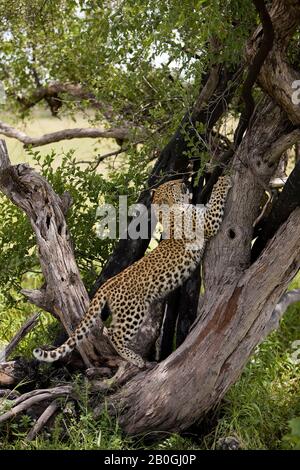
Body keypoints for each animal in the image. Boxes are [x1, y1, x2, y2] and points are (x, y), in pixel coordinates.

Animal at [33, 174, 232, 370]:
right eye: (172, 185)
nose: (184, 181)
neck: (170, 213)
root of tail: (108, 283)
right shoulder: (208, 223)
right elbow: (215, 200)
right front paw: (223, 179)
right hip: (133, 311)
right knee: (115, 334)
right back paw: (135, 358)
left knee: (108, 330)